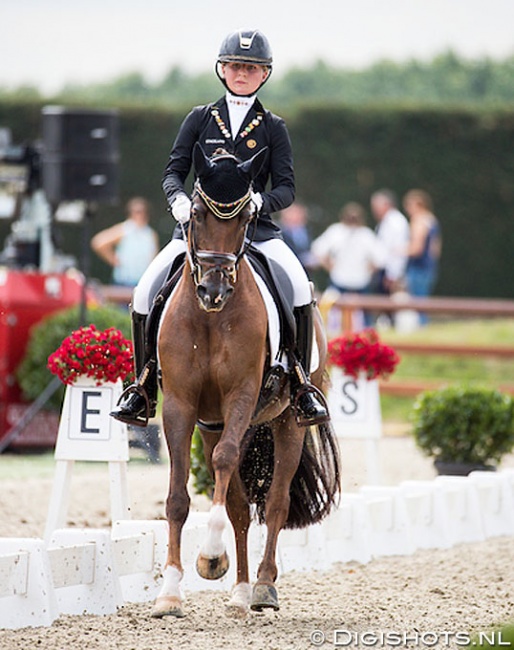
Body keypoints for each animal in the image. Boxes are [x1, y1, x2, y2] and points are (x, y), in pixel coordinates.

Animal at [151, 144, 340, 616]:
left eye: (244, 220)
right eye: (195, 214)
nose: (213, 292)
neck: (209, 320)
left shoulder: (241, 396)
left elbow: (227, 465)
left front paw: (209, 557)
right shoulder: (182, 405)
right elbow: (178, 496)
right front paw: (170, 591)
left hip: (286, 420)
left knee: (275, 502)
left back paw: (263, 588)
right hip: (213, 425)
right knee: (238, 505)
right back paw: (238, 589)